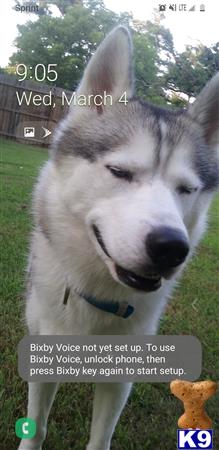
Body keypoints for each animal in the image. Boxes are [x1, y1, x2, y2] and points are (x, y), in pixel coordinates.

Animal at [18, 27, 219, 450]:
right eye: (120, 172)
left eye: (187, 189)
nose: (171, 248)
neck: (98, 295)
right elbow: (37, 426)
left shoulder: (120, 378)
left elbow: (101, 437)